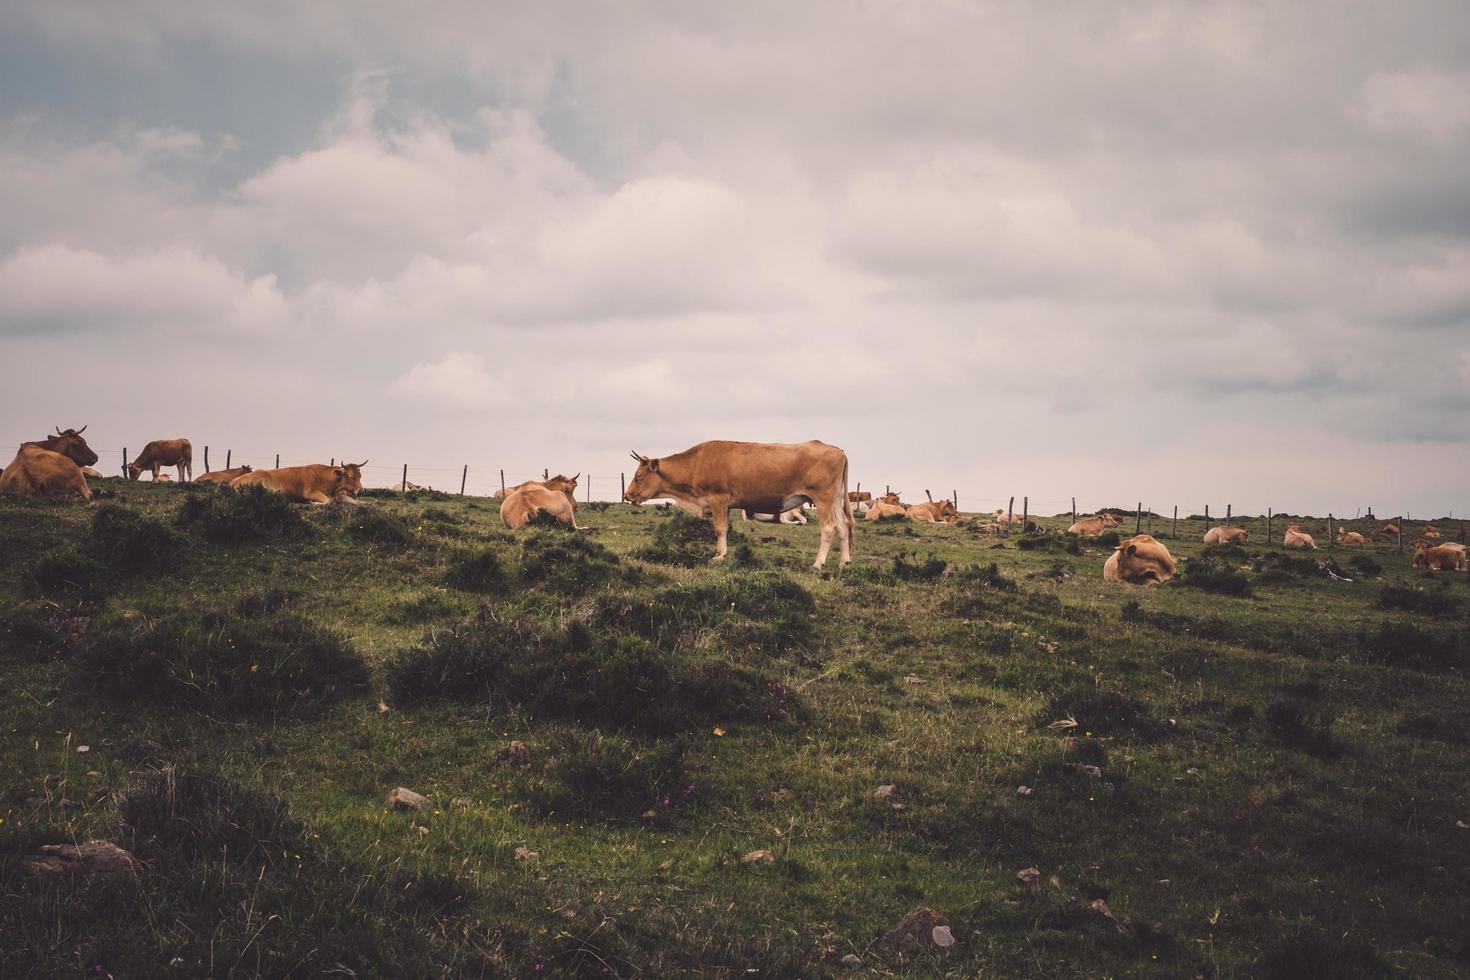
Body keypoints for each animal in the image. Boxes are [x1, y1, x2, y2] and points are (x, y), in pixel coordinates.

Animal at [232, 461, 367, 502]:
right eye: (351, 476)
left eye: (360, 475)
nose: (361, 489)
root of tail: (233, 481)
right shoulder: (311, 492)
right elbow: (329, 501)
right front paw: (313, 503)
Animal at [626, 437, 858, 567]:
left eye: (639, 476)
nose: (627, 495)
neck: (697, 462)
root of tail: (835, 449)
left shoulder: (718, 499)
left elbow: (720, 529)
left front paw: (719, 555)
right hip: (835, 500)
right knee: (843, 526)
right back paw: (844, 561)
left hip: (823, 498)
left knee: (828, 528)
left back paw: (818, 564)